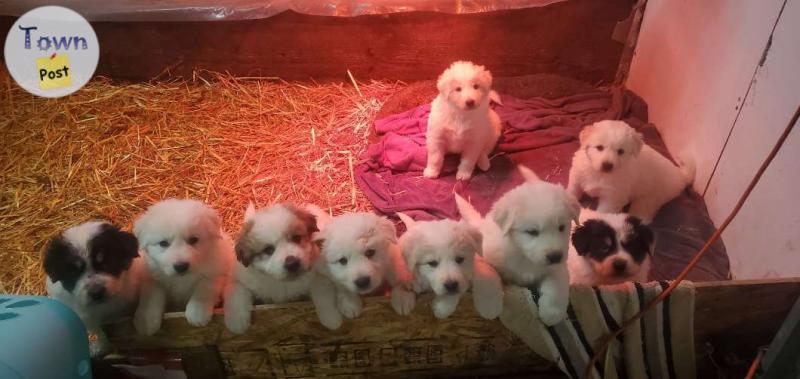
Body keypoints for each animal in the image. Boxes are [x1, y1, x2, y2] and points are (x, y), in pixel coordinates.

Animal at [44, 221, 141, 358]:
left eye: (107, 263)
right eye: (74, 272)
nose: (97, 293)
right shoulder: (88, 319)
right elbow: (101, 334)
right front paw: (100, 349)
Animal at [223, 203, 320, 334]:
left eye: (296, 238)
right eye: (268, 250)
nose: (292, 263)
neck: (281, 283)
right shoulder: (239, 279)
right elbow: (236, 295)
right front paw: (237, 322)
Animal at [454, 166, 580, 326]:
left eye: (561, 227)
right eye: (532, 232)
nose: (555, 256)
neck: (523, 256)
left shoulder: (557, 268)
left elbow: (556, 286)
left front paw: (552, 314)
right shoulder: (481, 259)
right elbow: (489, 276)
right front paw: (490, 307)